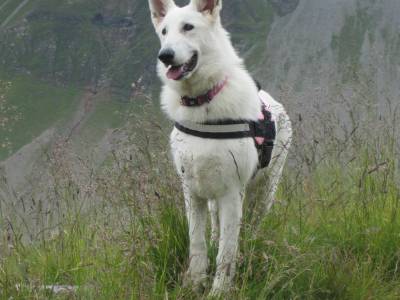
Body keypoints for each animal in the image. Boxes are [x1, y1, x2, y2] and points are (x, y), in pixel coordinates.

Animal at [147, 0, 290, 296]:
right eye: (164, 31)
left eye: (188, 27)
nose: (165, 55)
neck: (203, 103)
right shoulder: (192, 192)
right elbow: (197, 244)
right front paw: (195, 283)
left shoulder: (232, 195)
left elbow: (227, 251)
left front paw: (220, 290)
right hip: (213, 198)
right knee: (214, 229)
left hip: (264, 191)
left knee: (253, 226)